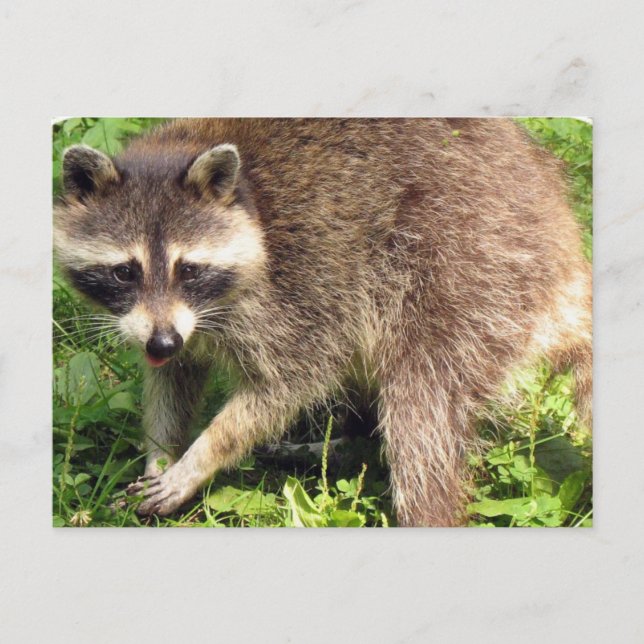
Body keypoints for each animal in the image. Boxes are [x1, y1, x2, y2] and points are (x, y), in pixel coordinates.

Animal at [54, 118, 592, 527]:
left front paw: (200, 458)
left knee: (420, 406)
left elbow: (288, 384)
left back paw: (424, 509)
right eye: (125, 271)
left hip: (470, 270)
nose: (163, 343)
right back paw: (348, 442)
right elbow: (173, 381)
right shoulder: (177, 326)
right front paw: (162, 452)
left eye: (188, 270)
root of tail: (564, 247)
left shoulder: (299, 289)